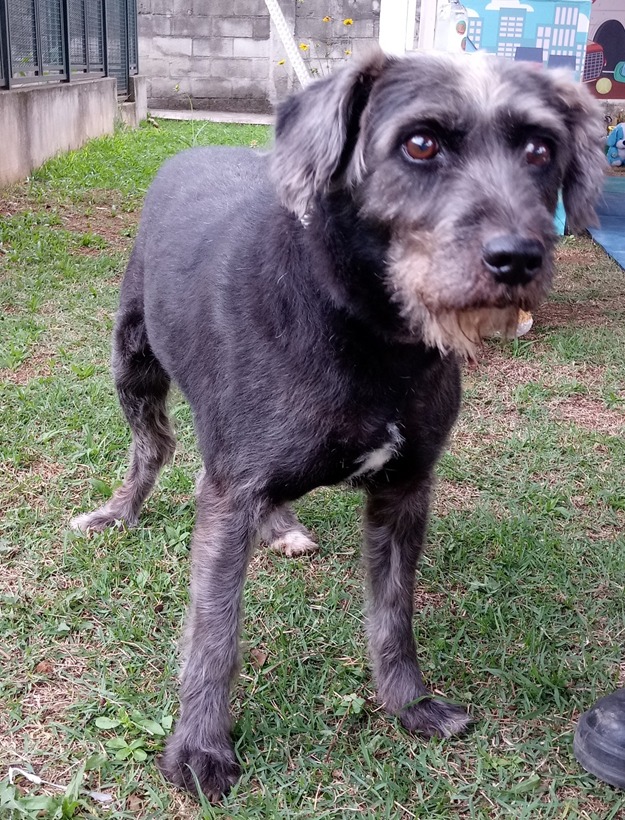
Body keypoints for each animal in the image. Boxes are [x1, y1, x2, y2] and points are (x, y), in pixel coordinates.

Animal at [72, 48, 604, 796]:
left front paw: (409, 703)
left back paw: (279, 525)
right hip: (134, 365)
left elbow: (393, 615)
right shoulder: (231, 493)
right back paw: (119, 512)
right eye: (420, 143)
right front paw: (200, 748)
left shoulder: (403, 490)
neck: (372, 334)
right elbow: (215, 631)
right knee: (153, 445)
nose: (517, 258)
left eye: (539, 149)